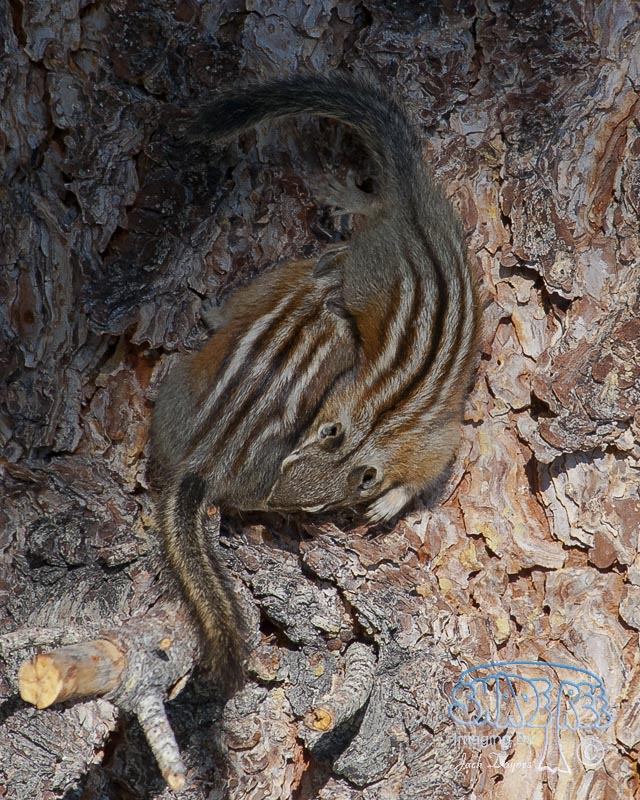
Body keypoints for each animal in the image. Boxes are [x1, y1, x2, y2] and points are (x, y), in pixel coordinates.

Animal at [150, 73, 482, 691]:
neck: (371, 431)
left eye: (316, 508)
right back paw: (348, 198)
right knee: (373, 209)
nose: (271, 500)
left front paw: (388, 502)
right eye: (289, 463)